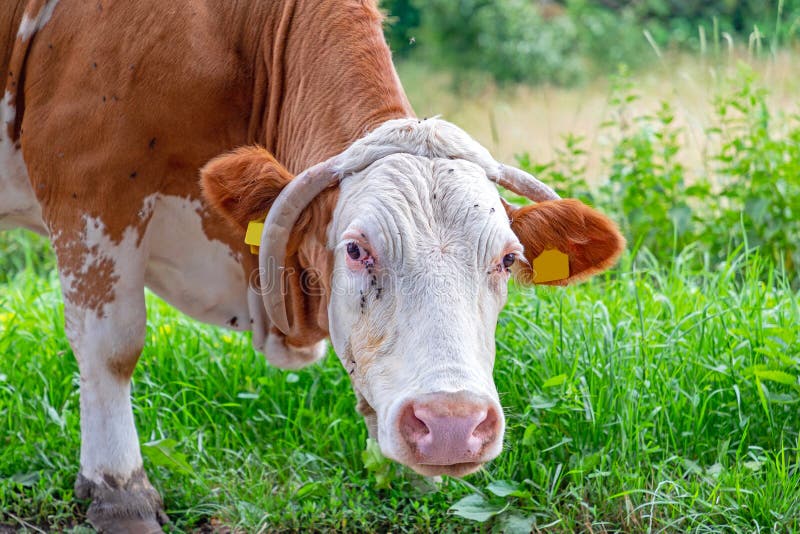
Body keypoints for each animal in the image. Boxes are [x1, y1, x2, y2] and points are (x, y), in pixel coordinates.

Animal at [0, 0, 624, 531]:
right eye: (355, 249)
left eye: (507, 258)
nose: (450, 424)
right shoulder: (85, 178)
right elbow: (112, 346)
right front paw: (119, 493)